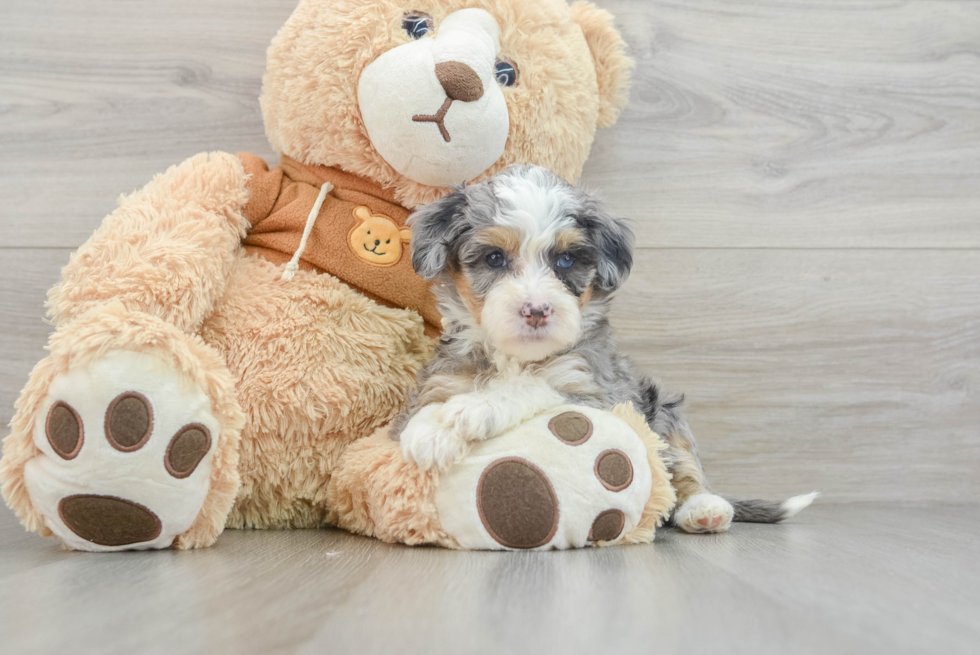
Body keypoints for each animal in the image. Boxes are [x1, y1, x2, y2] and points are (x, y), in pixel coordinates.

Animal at [394, 164, 816, 532]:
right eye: (494, 258)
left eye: (566, 260)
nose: (537, 310)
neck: (517, 358)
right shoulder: (441, 382)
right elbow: (427, 409)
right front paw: (432, 427)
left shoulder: (598, 395)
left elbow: (531, 388)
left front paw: (461, 415)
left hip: (663, 408)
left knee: (683, 467)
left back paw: (705, 509)